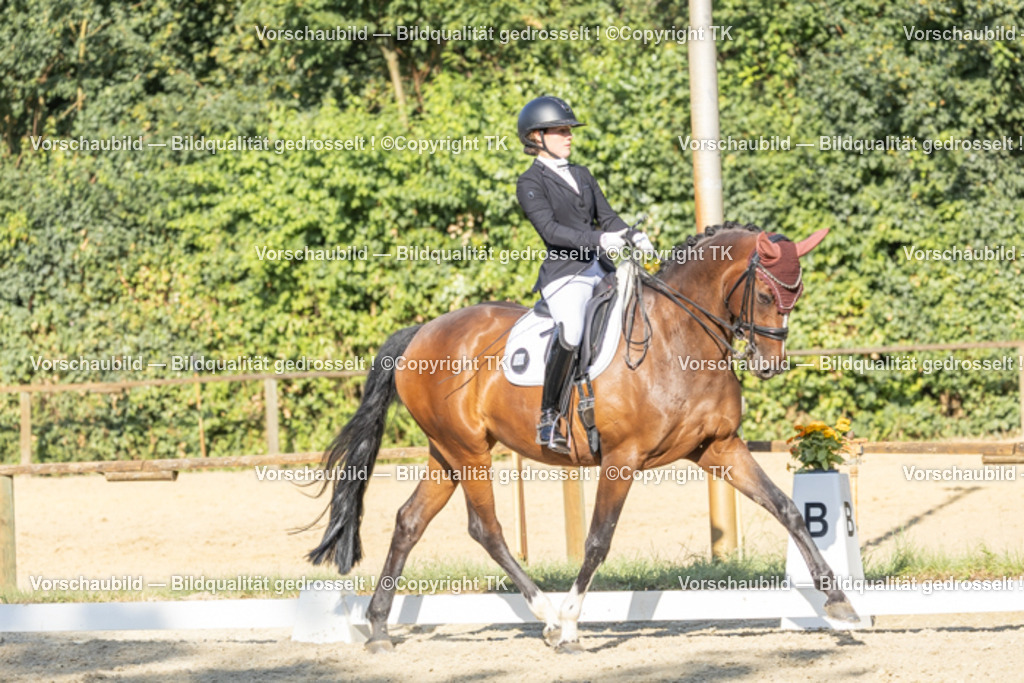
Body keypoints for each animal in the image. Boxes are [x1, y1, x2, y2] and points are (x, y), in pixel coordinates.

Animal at [307, 222, 859, 653]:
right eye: (766, 294)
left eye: (795, 296)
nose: (770, 364)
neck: (679, 339)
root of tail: (420, 332)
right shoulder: (622, 458)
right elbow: (597, 540)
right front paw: (572, 623)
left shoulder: (719, 448)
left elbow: (786, 508)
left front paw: (839, 603)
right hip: (469, 452)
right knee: (486, 530)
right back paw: (550, 619)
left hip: (447, 453)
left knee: (409, 521)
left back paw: (379, 629)